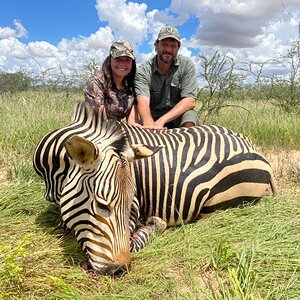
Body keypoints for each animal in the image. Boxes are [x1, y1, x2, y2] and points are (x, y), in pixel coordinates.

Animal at [33, 102, 276, 276]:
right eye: (102, 205)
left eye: (131, 201)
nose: (118, 271)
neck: (55, 175)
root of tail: (253, 146)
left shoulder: (135, 208)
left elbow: (132, 240)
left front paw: (153, 226)